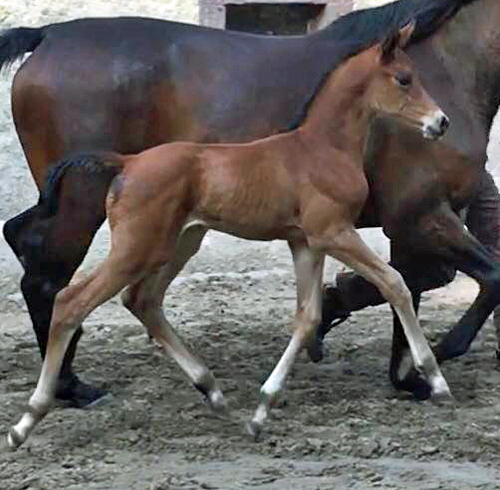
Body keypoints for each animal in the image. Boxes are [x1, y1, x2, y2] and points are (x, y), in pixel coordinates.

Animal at [0, 0, 500, 406]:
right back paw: (69, 386)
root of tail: (48, 36)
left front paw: (402, 369)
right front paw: (432, 359)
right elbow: (467, 278)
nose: (439, 123)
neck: (449, 66)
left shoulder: (411, 220)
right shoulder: (419, 214)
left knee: (25, 242)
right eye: (404, 80)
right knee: (50, 280)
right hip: (84, 207)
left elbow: (412, 282)